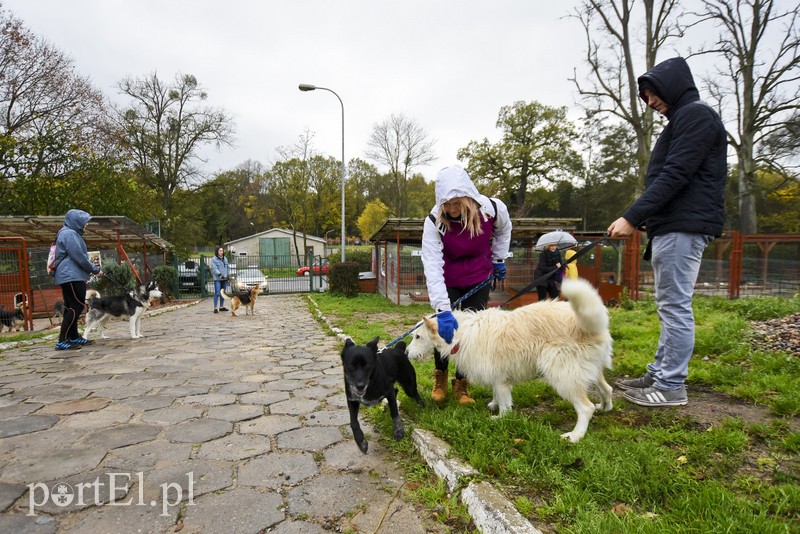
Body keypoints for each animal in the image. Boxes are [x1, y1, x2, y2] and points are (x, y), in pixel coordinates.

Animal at [410, 278, 616, 446]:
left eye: (418, 337)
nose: (406, 352)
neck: (460, 333)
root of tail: (590, 326)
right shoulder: (497, 376)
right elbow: (496, 394)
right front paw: (493, 405)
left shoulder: (501, 379)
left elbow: (504, 402)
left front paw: (501, 417)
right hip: (589, 371)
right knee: (607, 389)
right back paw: (605, 407)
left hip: (562, 375)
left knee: (586, 408)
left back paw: (575, 436)